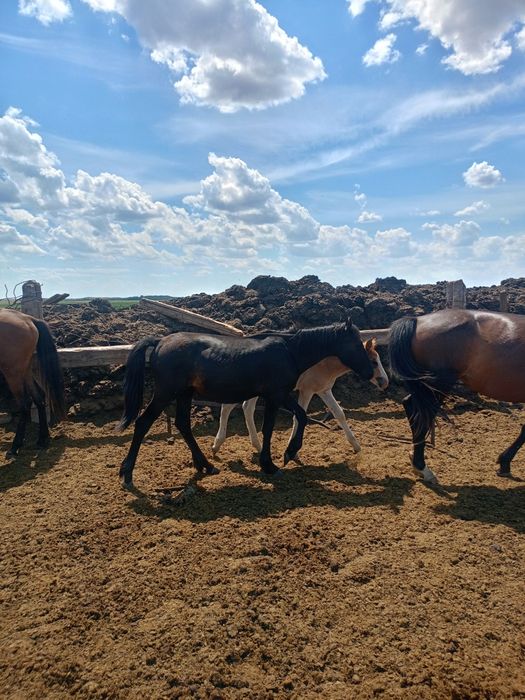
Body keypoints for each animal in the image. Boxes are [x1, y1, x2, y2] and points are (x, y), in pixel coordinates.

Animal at [0, 309, 65, 458]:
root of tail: (28, 319)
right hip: (25, 370)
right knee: (38, 397)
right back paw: (42, 440)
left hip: (13, 373)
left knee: (25, 403)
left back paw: (15, 446)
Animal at [212, 338, 388, 457]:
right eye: (374, 362)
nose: (385, 382)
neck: (325, 364)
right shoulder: (307, 390)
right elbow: (298, 417)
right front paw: (292, 452)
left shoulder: (324, 390)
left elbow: (339, 413)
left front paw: (356, 446)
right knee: (228, 407)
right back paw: (217, 445)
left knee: (246, 408)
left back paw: (257, 446)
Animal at [388, 308, 525, 483]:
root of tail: (417, 320)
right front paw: (504, 463)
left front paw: (504, 463)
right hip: (439, 386)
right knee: (422, 417)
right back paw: (422, 468)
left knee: (410, 407)